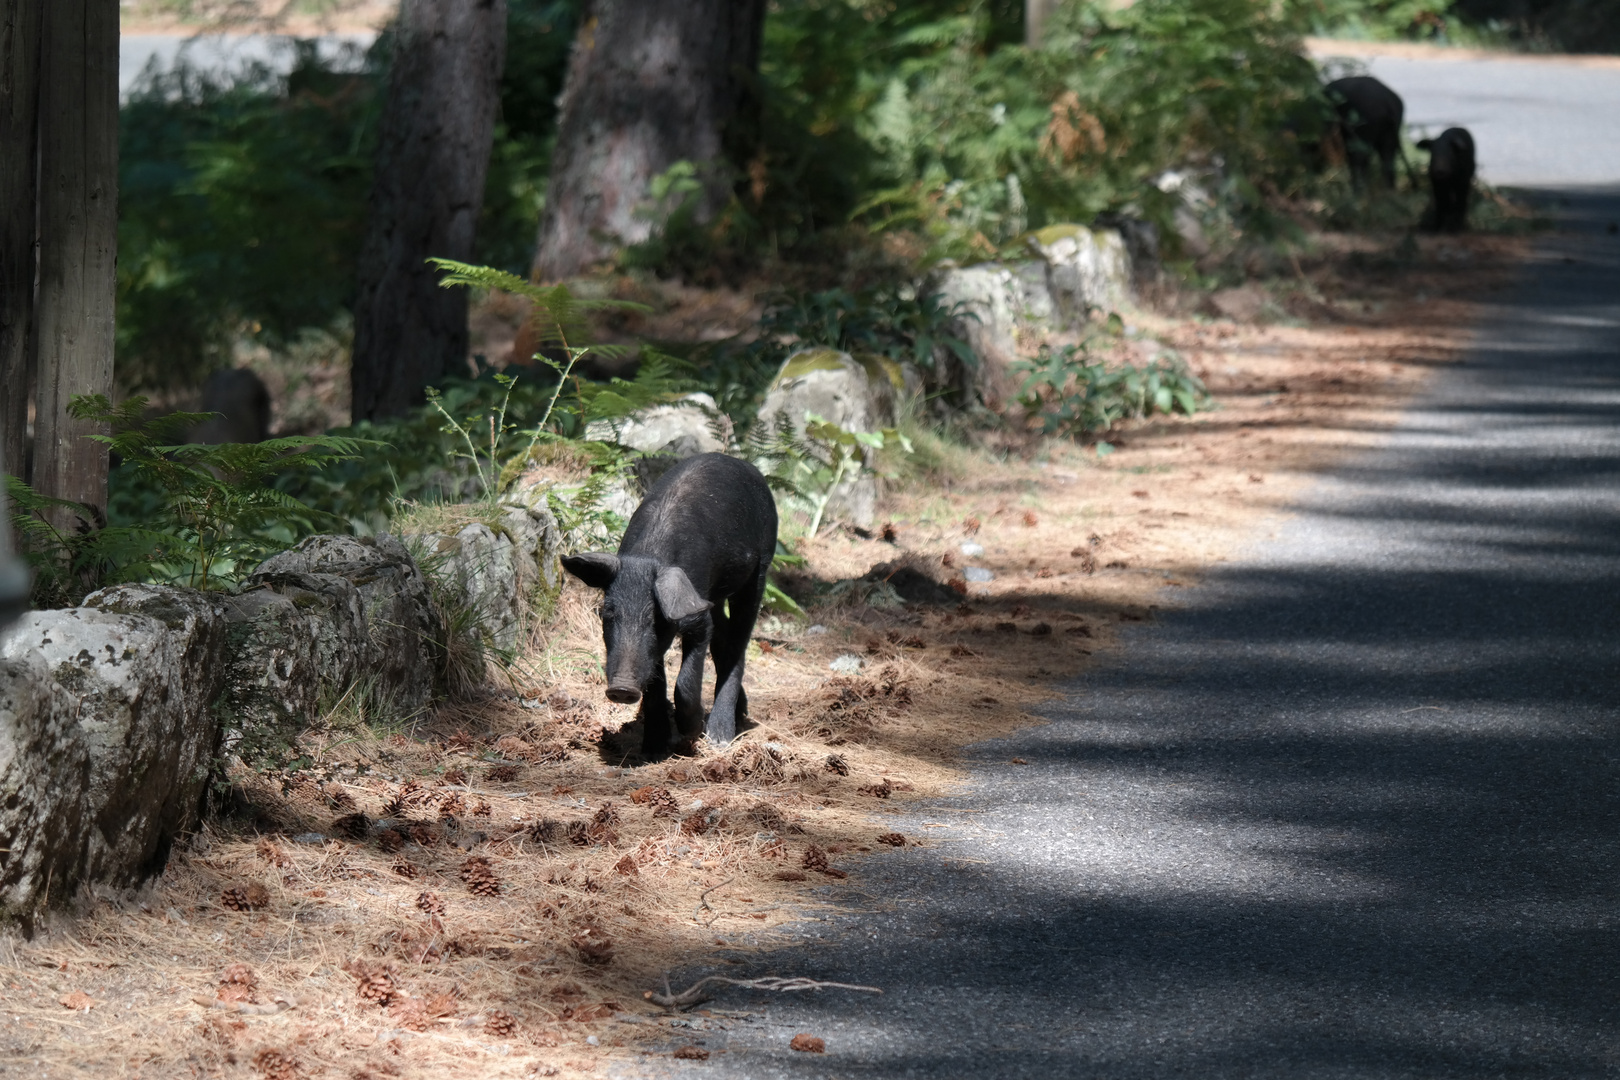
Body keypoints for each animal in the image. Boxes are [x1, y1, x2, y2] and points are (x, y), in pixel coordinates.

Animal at [563, 453, 777, 757]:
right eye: (607, 613)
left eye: (656, 619)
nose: (622, 688)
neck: (649, 556)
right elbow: (656, 680)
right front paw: (652, 749)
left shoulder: (697, 620)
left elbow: (685, 680)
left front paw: (692, 731)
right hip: (712, 597)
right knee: (723, 635)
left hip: (759, 569)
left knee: (739, 643)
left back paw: (720, 737)